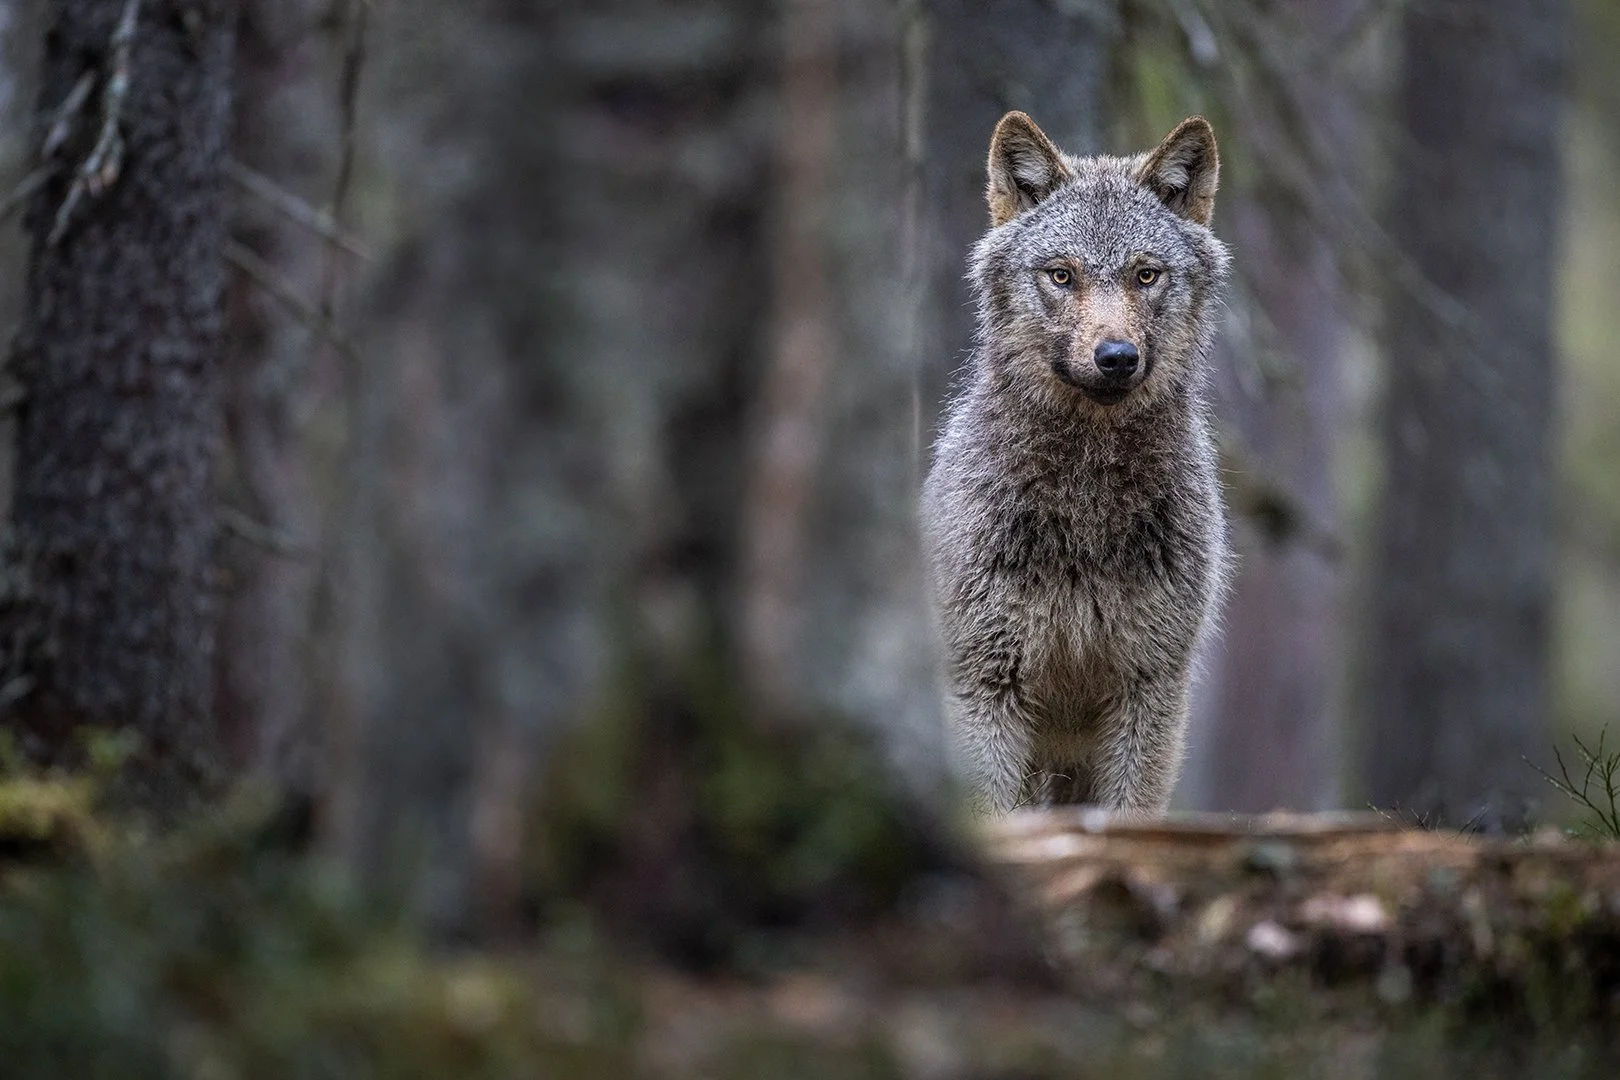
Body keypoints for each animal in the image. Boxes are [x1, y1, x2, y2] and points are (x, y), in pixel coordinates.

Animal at [921, 112, 1231, 816]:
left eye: (1146, 275)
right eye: (1063, 276)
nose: (1116, 357)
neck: (1086, 507)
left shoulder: (1151, 688)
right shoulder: (987, 686)